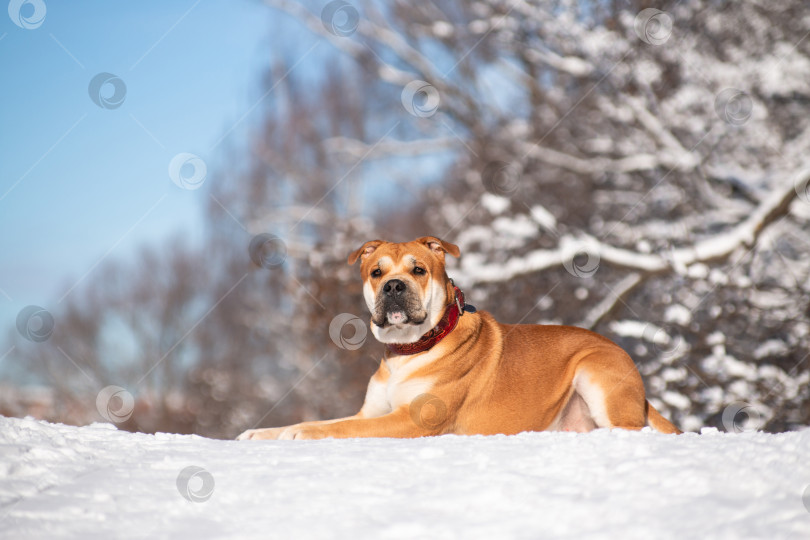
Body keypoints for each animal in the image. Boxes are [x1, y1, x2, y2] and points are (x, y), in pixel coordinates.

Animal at [237, 236, 680, 438]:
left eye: (418, 269)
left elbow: (339, 429)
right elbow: (331, 419)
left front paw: (302, 433)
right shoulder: (372, 412)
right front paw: (262, 432)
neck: (410, 349)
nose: (394, 286)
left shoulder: (412, 418)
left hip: (594, 370)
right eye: (376, 272)